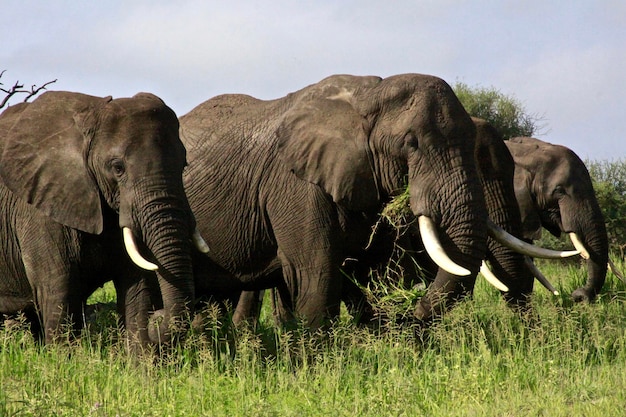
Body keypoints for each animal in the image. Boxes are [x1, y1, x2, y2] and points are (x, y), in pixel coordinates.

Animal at [0, 91, 202, 344]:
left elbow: (138, 289)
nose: (158, 317)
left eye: (183, 164)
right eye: (117, 168)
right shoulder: (39, 208)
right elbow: (58, 290)